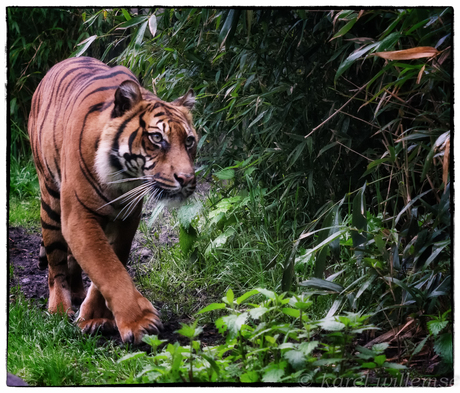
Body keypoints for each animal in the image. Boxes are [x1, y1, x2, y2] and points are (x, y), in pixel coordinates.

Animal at [27, 56, 196, 344]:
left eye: (189, 141)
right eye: (157, 138)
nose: (186, 179)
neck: (122, 179)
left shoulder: (127, 218)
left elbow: (111, 261)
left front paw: (95, 318)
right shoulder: (78, 217)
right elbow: (107, 267)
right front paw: (140, 322)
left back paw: (77, 292)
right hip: (50, 200)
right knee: (56, 261)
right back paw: (59, 307)